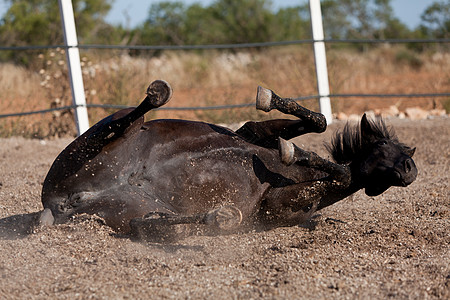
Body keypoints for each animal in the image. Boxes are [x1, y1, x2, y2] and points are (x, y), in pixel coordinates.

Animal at [39, 79, 418, 241]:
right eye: (386, 143)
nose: (410, 169)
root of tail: (61, 202)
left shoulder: (276, 205)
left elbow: (342, 174)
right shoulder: (252, 133)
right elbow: (319, 122)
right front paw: (272, 106)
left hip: (129, 210)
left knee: (151, 224)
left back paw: (220, 216)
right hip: (111, 136)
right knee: (132, 116)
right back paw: (158, 93)